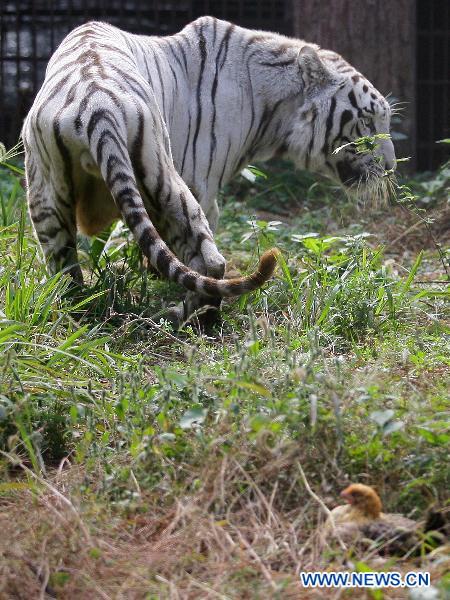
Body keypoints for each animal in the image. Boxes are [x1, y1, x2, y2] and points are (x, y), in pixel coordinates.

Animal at [22, 15, 394, 324]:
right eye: (367, 121)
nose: (391, 167)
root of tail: (96, 105)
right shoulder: (205, 184)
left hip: (49, 196)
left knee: (63, 266)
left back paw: (76, 312)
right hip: (169, 176)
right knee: (210, 263)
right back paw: (195, 317)